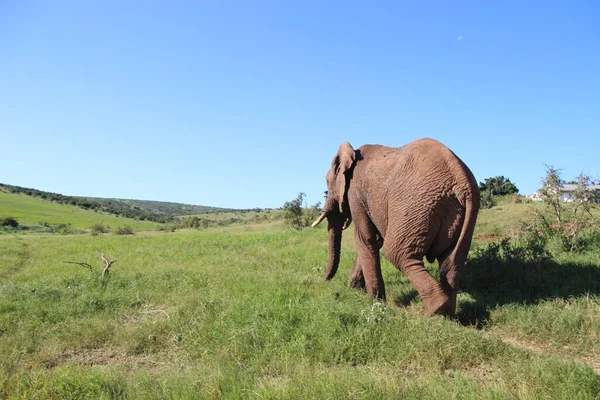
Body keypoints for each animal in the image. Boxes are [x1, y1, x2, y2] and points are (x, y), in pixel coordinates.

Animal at [312, 139, 480, 318]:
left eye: (327, 181)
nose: (324, 281)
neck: (353, 152)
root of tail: (462, 183)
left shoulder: (355, 192)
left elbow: (365, 239)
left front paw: (374, 302)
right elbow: (373, 240)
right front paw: (356, 289)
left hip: (416, 206)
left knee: (397, 254)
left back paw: (432, 312)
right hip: (460, 214)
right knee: (451, 261)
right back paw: (447, 315)